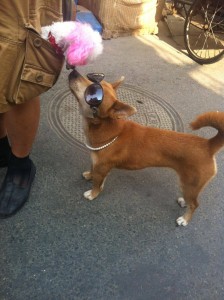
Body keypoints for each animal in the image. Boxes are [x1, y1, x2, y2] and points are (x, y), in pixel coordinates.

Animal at [68, 69, 224, 225]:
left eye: (92, 93)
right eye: (91, 80)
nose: (74, 72)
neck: (107, 128)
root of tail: (208, 145)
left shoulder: (102, 168)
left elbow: (97, 184)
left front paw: (93, 194)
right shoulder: (99, 164)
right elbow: (93, 170)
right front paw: (90, 175)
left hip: (190, 183)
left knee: (195, 204)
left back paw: (185, 219)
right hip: (189, 186)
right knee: (191, 199)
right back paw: (184, 202)